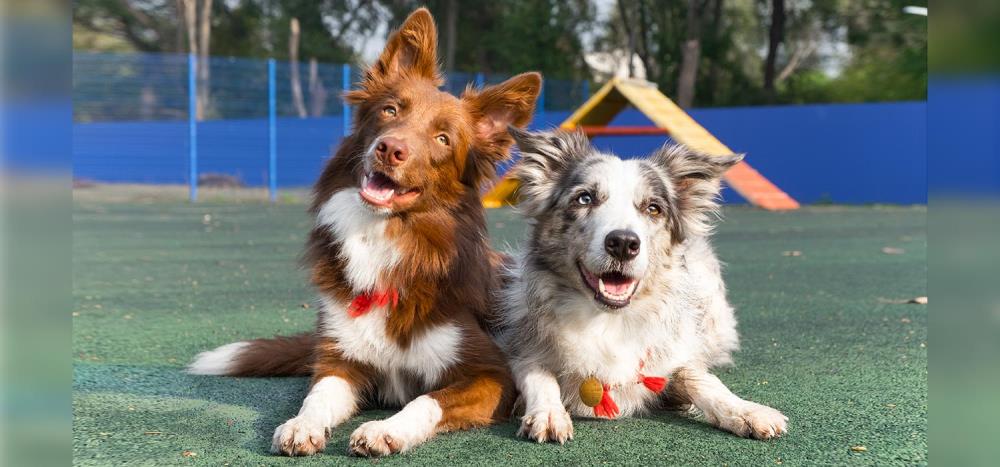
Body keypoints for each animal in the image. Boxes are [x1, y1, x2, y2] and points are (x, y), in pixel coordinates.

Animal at [187, 9, 540, 458]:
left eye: (443, 138)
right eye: (390, 110)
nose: (390, 149)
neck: (385, 236)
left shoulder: (491, 375)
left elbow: (428, 399)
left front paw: (384, 430)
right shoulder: (340, 360)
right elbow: (316, 395)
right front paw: (301, 425)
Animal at [500, 128, 788, 446]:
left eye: (653, 208)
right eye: (584, 198)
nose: (623, 243)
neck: (607, 320)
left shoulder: (676, 353)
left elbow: (701, 378)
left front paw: (746, 411)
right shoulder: (517, 346)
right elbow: (538, 374)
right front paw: (548, 412)